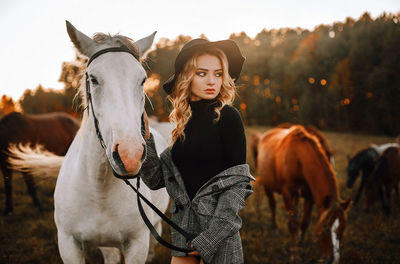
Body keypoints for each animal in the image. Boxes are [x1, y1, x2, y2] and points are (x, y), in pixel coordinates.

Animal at [8, 21, 169, 262]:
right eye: (93, 79)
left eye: (142, 80)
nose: (129, 156)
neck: (98, 187)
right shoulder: (68, 245)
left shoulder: (137, 244)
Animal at [253, 125, 350, 262]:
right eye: (324, 226)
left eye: (343, 228)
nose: (332, 259)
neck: (297, 157)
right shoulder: (288, 193)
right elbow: (292, 224)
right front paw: (295, 255)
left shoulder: (309, 196)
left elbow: (304, 223)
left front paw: (300, 247)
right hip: (268, 186)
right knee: (272, 205)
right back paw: (274, 230)